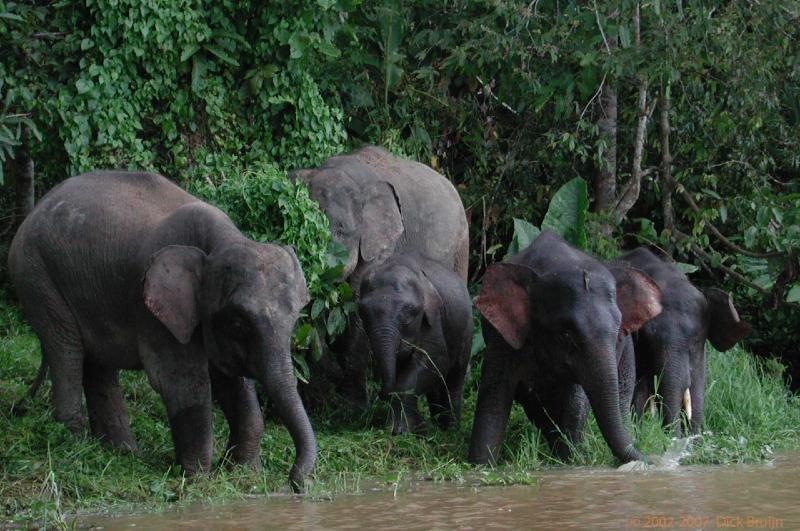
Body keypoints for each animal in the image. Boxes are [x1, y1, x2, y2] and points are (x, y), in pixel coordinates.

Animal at [10, 170, 316, 490]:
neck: (222, 242)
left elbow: (232, 381)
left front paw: (243, 473)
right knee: (67, 352)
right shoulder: (151, 308)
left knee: (97, 365)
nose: (295, 483)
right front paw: (198, 479)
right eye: (238, 322)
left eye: (296, 318)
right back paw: (75, 447)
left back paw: (120, 453)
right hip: (36, 276)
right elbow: (181, 382)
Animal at [358, 252, 476, 432]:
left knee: (454, 379)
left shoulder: (433, 320)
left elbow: (437, 360)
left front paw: (400, 431)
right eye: (362, 312)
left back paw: (451, 429)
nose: (381, 394)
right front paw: (414, 426)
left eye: (410, 311)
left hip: (466, 331)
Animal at [468, 231, 664, 468]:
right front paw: (481, 465)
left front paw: (569, 460)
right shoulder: (502, 339)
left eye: (617, 332)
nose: (655, 460)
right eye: (567, 335)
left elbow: (576, 399)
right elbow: (494, 397)